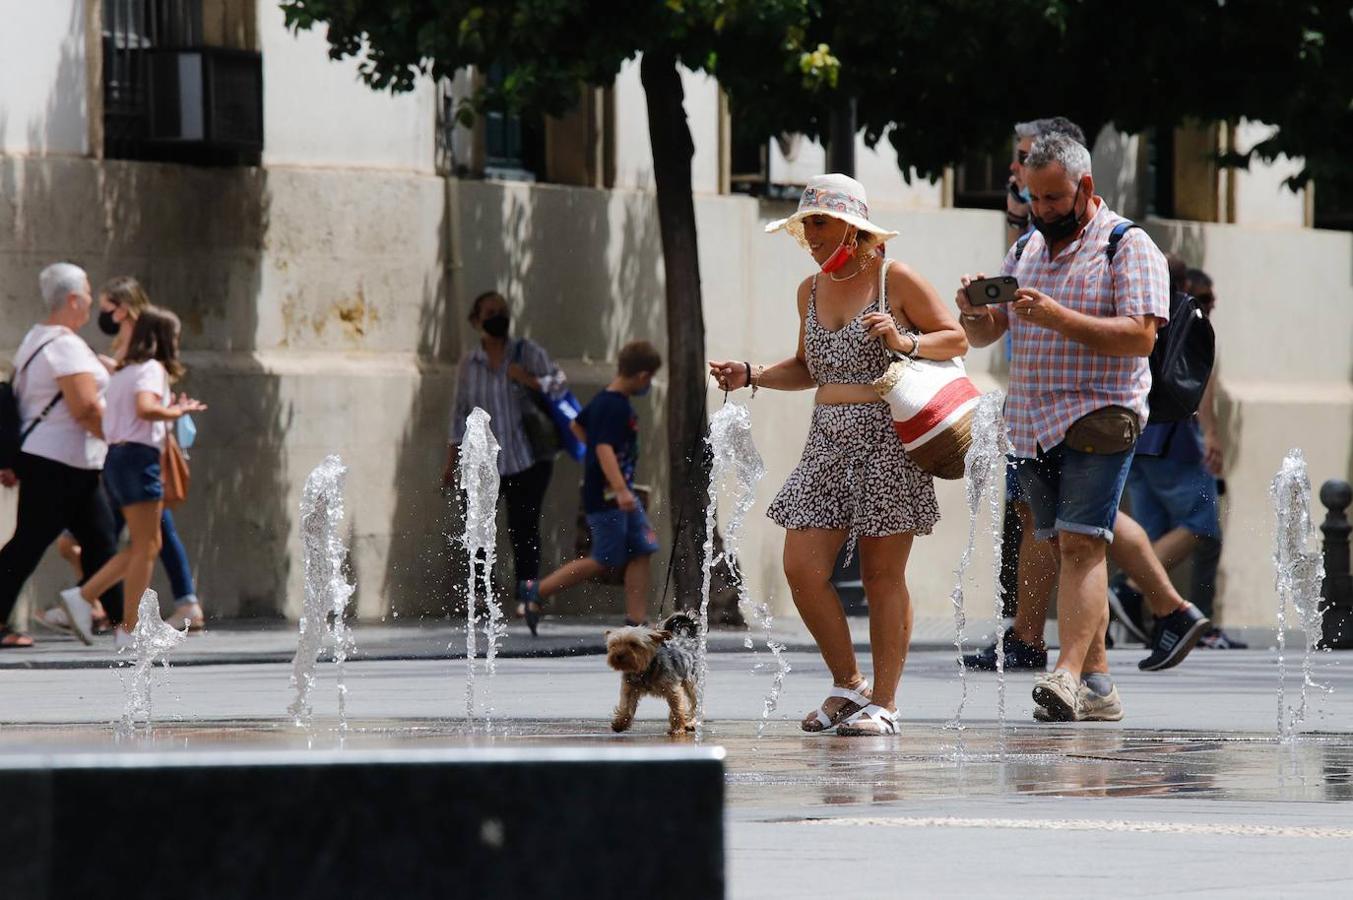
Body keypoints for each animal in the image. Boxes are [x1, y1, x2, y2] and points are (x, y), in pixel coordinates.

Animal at [608, 606, 703, 736]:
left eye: (633, 644)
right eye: (614, 645)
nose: (618, 655)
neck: (643, 670)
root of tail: (689, 639)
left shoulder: (673, 689)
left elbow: (677, 708)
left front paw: (678, 728)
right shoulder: (629, 688)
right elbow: (626, 706)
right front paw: (620, 723)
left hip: (691, 682)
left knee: (694, 703)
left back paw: (691, 722)